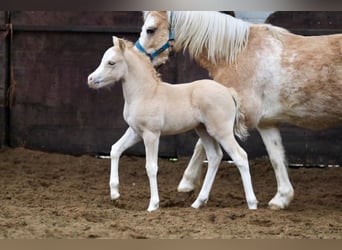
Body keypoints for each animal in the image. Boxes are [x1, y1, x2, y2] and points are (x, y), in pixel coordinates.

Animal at [87, 35, 258, 211]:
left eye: (111, 62)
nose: (90, 79)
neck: (145, 93)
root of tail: (228, 91)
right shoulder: (135, 132)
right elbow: (115, 150)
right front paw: (115, 194)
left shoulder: (151, 134)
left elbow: (151, 167)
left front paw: (153, 205)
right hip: (204, 130)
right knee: (214, 157)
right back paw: (198, 202)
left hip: (222, 132)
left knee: (240, 157)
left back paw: (252, 204)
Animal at [137, 10, 342, 210]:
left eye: (150, 30)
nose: (140, 58)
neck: (237, 55)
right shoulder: (266, 123)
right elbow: (276, 157)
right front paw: (282, 198)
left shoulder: (232, 116)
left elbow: (201, 145)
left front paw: (186, 184)